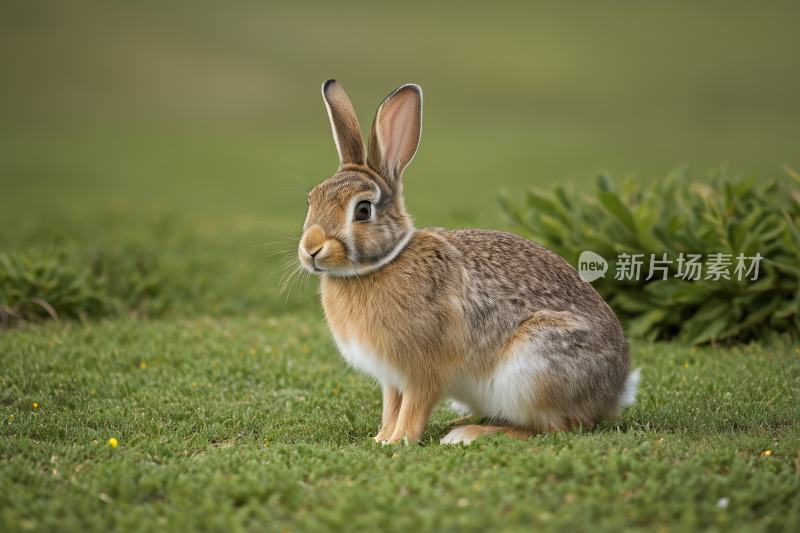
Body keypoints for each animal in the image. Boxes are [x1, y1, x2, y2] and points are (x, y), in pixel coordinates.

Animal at [296, 80, 640, 444]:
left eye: (362, 210)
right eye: (312, 200)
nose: (311, 250)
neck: (381, 264)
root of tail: (615, 392)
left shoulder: (422, 370)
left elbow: (413, 408)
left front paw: (400, 441)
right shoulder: (391, 378)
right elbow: (392, 407)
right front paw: (381, 439)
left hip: (534, 368)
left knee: (558, 428)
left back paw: (470, 433)